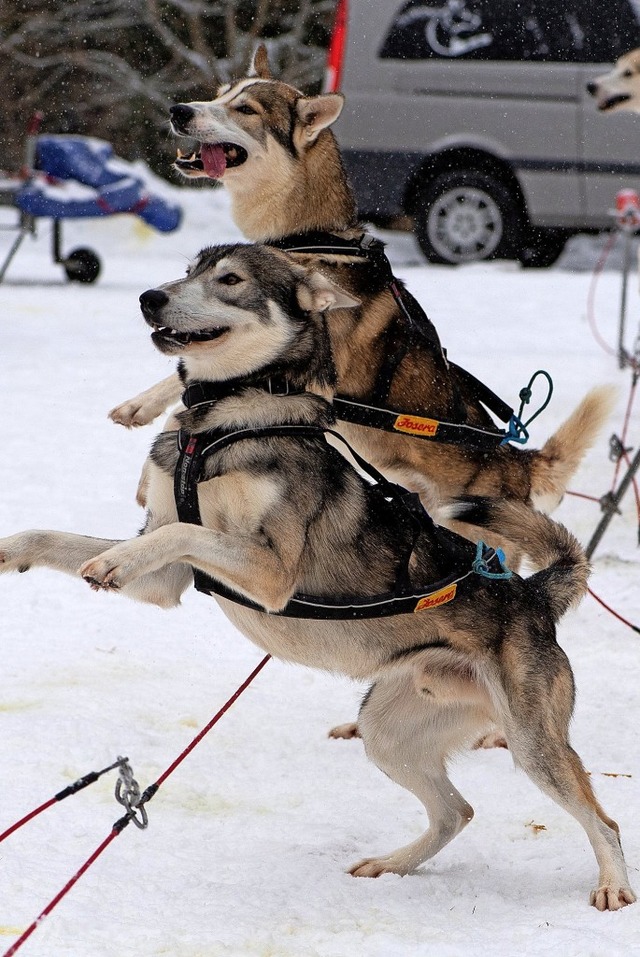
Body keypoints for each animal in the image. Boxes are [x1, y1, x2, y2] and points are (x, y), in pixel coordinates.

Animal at [0, 241, 632, 912]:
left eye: (229, 279)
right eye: (187, 269)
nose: (151, 297)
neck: (221, 425)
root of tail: (534, 595)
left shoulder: (270, 573)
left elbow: (184, 534)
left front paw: (112, 560)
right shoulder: (165, 579)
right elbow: (60, 538)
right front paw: (11, 550)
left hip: (534, 744)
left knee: (602, 820)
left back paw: (614, 886)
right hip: (387, 731)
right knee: (456, 812)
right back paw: (393, 864)